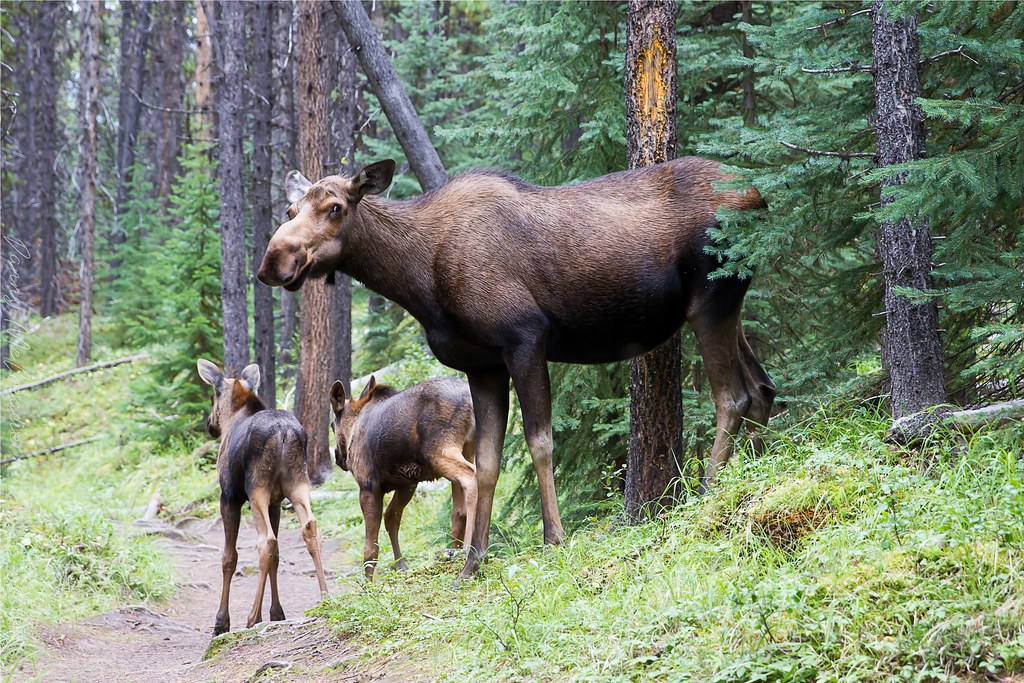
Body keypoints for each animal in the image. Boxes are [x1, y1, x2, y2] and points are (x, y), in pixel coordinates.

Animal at [197, 359, 328, 635]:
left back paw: (252, 617)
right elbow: (277, 557)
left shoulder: (229, 497)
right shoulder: (276, 502)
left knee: (265, 540)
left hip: (257, 488)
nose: (210, 425)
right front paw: (277, 613)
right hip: (298, 483)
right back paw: (325, 597)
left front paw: (221, 622)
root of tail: (283, 433)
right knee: (309, 528)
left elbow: (229, 557)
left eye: (214, 396)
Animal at [329, 375, 477, 577]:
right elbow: (391, 519)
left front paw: (368, 582)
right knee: (459, 510)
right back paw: (456, 550)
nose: (338, 457)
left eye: (331, 426)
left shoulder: (368, 486)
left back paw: (468, 549)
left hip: (440, 451)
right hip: (467, 448)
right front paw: (401, 565)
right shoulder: (406, 484)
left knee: (471, 477)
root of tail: (470, 399)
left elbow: (370, 548)